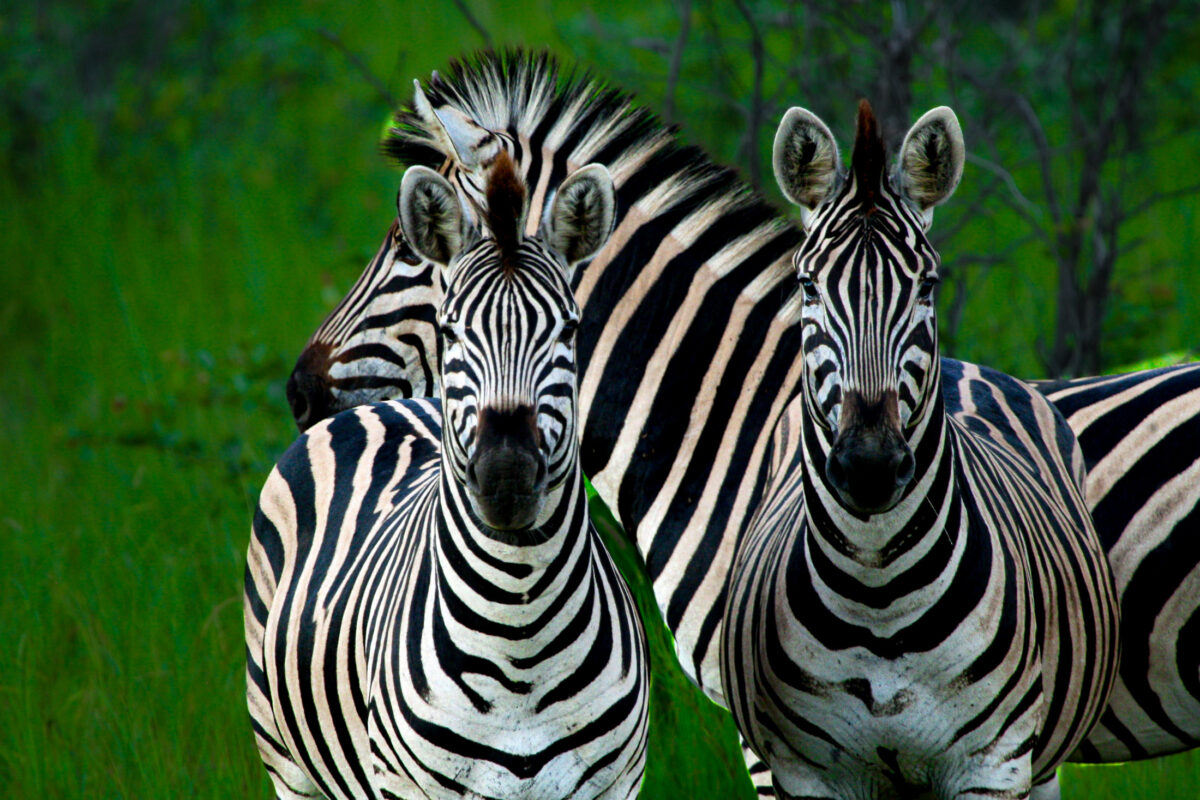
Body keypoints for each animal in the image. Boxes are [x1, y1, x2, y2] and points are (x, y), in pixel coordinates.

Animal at [244, 150, 650, 799]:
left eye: (569, 330)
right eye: (451, 330)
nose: (506, 474)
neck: (521, 643)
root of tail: (395, 403)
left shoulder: (617, 785)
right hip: (288, 767)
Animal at [719, 100, 1120, 799]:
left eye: (928, 287)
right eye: (808, 288)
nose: (870, 465)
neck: (878, 597)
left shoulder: (993, 764)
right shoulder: (805, 773)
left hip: (1042, 762)